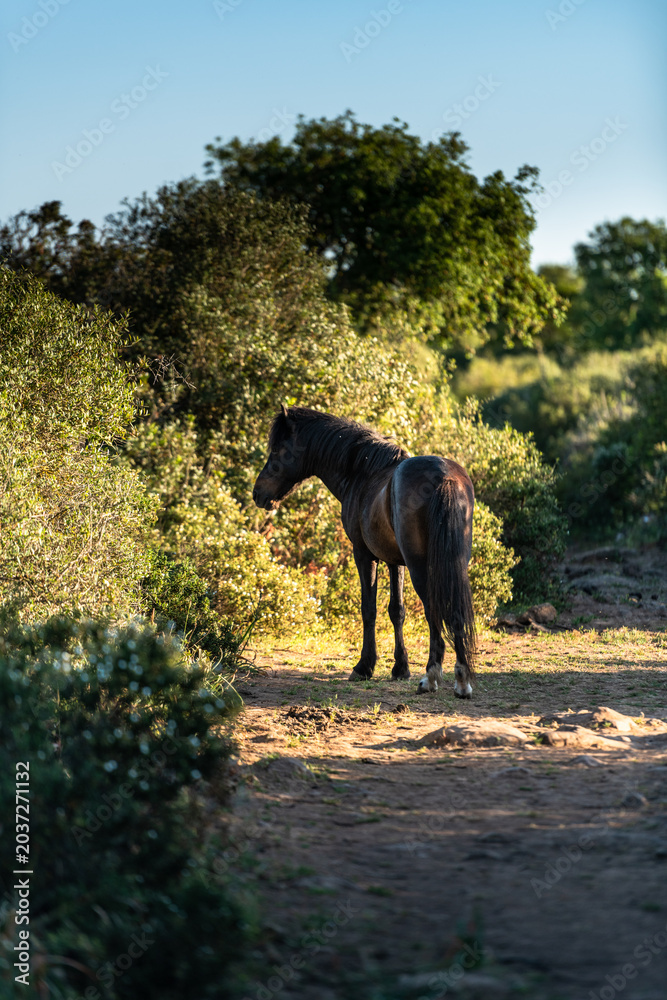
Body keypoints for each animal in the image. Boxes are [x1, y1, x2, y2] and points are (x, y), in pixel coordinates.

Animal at [253, 406, 476, 697]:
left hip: (420, 566)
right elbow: (397, 610)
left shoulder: (364, 555)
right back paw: (462, 681)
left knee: (434, 610)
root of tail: (445, 476)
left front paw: (364, 667)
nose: (257, 493)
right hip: (454, 563)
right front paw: (400, 668)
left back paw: (432, 677)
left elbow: (368, 608)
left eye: (278, 450)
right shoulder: (395, 562)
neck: (363, 473)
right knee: (455, 609)